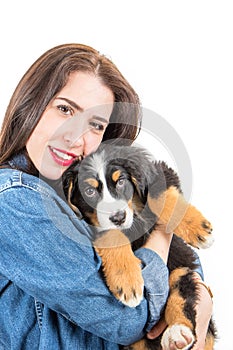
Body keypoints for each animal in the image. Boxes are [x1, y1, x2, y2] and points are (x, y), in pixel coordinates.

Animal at [62, 143, 217, 350]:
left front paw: (198, 228)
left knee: (181, 295)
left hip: (181, 270)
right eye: (89, 191)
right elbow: (113, 234)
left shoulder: (161, 172)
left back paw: (177, 333)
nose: (118, 217)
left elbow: (159, 196)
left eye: (121, 181)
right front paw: (127, 281)